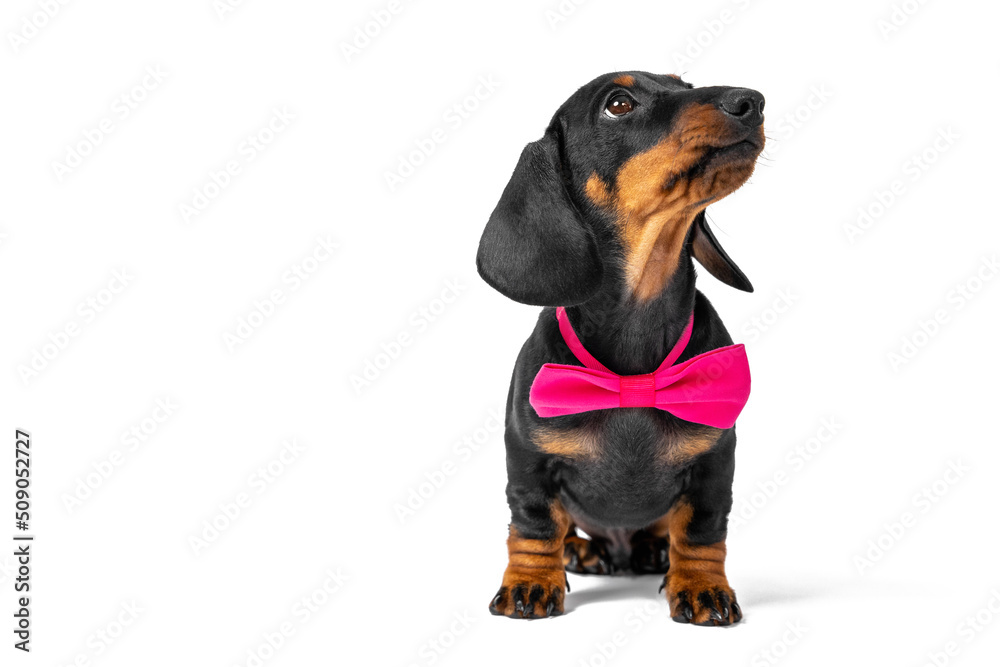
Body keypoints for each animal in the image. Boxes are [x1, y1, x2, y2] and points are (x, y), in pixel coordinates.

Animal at [476, 70, 764, 624]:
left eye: (685, 85)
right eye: (619, 103)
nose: (753, 101)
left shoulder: (714, 465)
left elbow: (702, 533)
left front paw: (702, 587)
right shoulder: (528, 461)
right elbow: (534, 526)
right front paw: (530, 582)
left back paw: (651, 552)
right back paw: (581, 551)